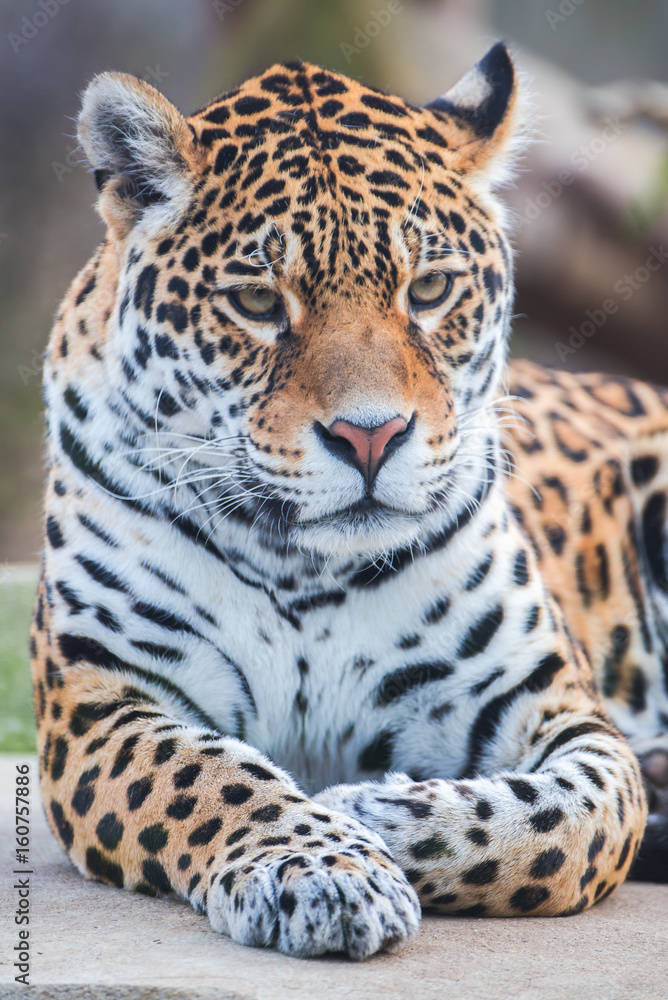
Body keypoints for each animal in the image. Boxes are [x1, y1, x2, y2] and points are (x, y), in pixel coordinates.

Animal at [31, 41, 668, 960]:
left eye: (429, 289)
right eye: (258, 301)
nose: (371, 437)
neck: (306, 567)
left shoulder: (551, 700)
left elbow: (575, 820)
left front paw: (376, 812)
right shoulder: (103, 699)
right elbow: (212, 777)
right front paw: (322, 870)